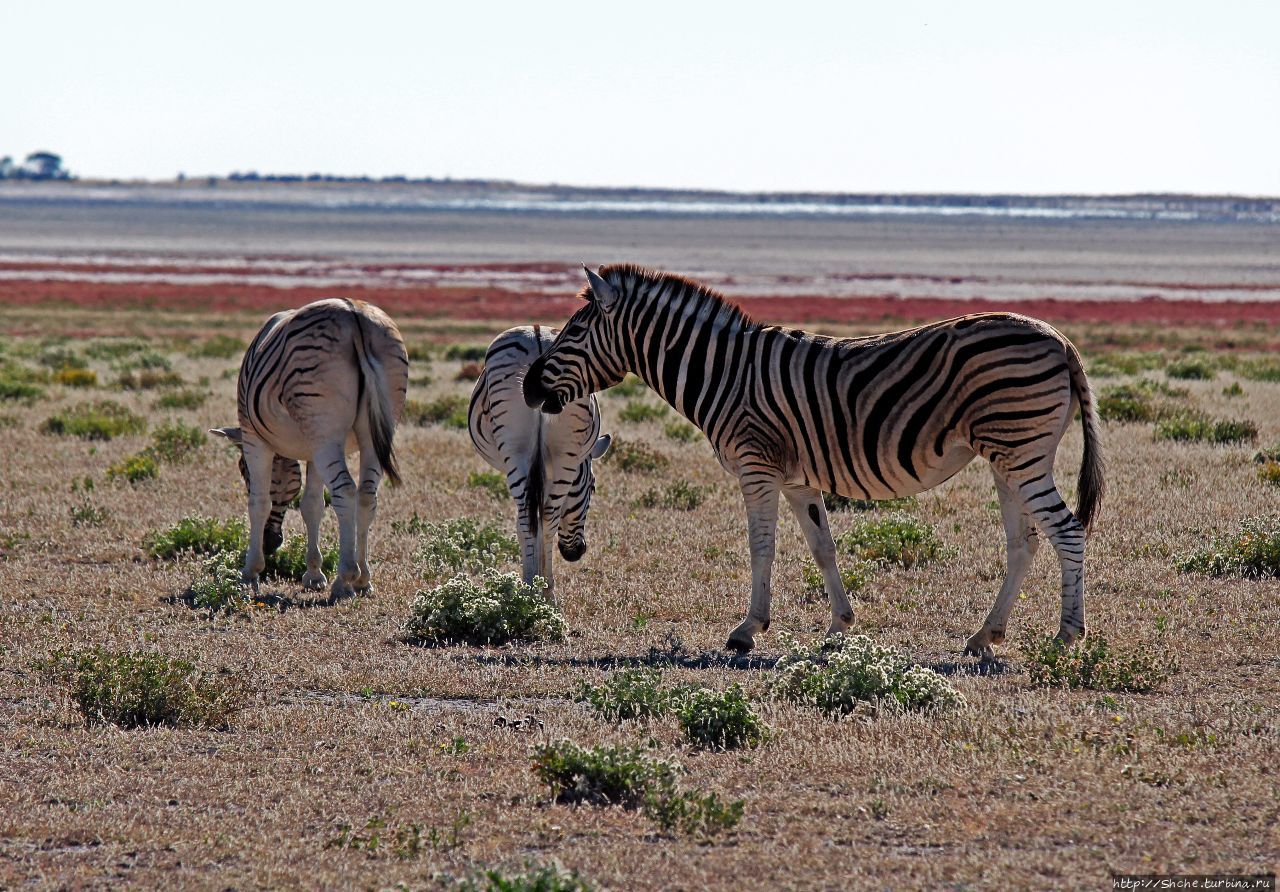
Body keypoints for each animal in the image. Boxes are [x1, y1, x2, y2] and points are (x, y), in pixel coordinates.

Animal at [212, 296, 407, 598]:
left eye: (243, 471)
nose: (270, 543)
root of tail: (354, 313)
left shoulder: (255, 438)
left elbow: (259, 503)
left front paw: (250, 572)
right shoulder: (314, 449)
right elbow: (312, 505)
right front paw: (314, 574)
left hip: (323, 424)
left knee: (345, 490)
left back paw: (345, 579)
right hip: (369, 430)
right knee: (366, 495)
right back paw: (363, 579)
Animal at [468, 323, 611, 593]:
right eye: (593, 487)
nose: (576, 553)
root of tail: (537, 337)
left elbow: (523, 524)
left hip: (516, 448)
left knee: (530, 517)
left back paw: (534, 588)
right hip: (563, 452)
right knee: (545, 518)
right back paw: (544, 590)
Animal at [524, 262, 1105, 655]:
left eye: (573, 332)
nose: (529, 388)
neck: (724, 373)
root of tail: (1061, 340)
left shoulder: (756, 466)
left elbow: (762, 546)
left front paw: (747, 631)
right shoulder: (796, 478)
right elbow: (822, 547)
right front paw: (840, 626)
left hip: (1020, 450)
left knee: (1067, 530)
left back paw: (1066, 636)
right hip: (1007, 457)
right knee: (1025, 543)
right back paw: (986, 635)